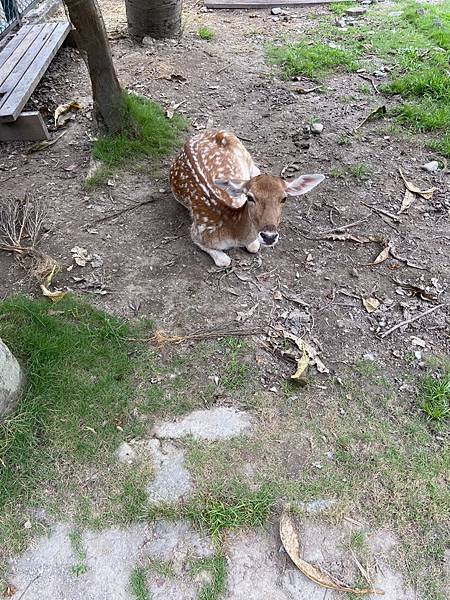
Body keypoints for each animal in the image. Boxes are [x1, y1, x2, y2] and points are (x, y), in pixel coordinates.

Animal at [169, 131, 324, 268]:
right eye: (249, 197)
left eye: (284, 198)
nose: (269, 236)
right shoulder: (197, 231)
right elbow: (224, 261)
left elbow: (254, 246)